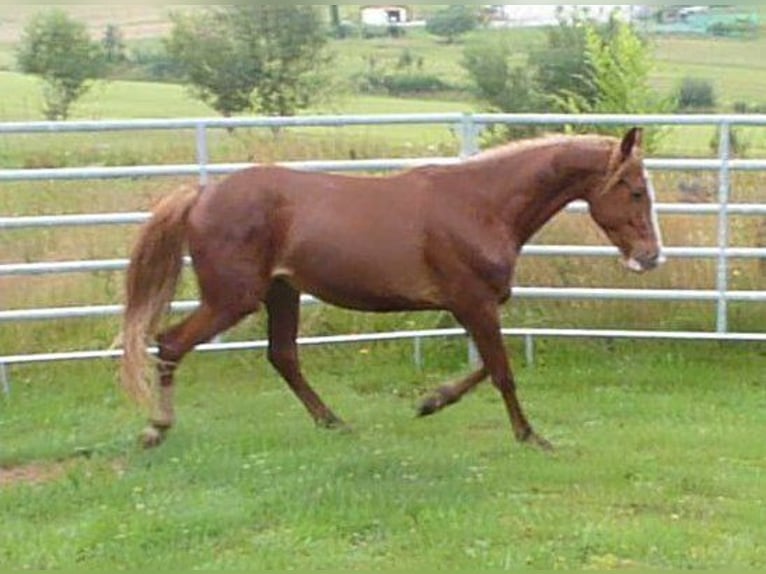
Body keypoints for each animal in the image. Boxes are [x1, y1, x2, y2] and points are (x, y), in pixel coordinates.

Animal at [120, 128, 664, 452]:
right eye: (636, 191)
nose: (650, 257)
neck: (481, 206)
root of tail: (201, 195)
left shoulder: (471, 307)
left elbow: (487, 367)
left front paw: (430, 401)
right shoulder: (475, 303)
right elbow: (502, 371)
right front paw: (530, 436)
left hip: (282, 293)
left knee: (283, 356)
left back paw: (334, 423)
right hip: (234, 299)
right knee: (170, 343)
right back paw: (155, 429)